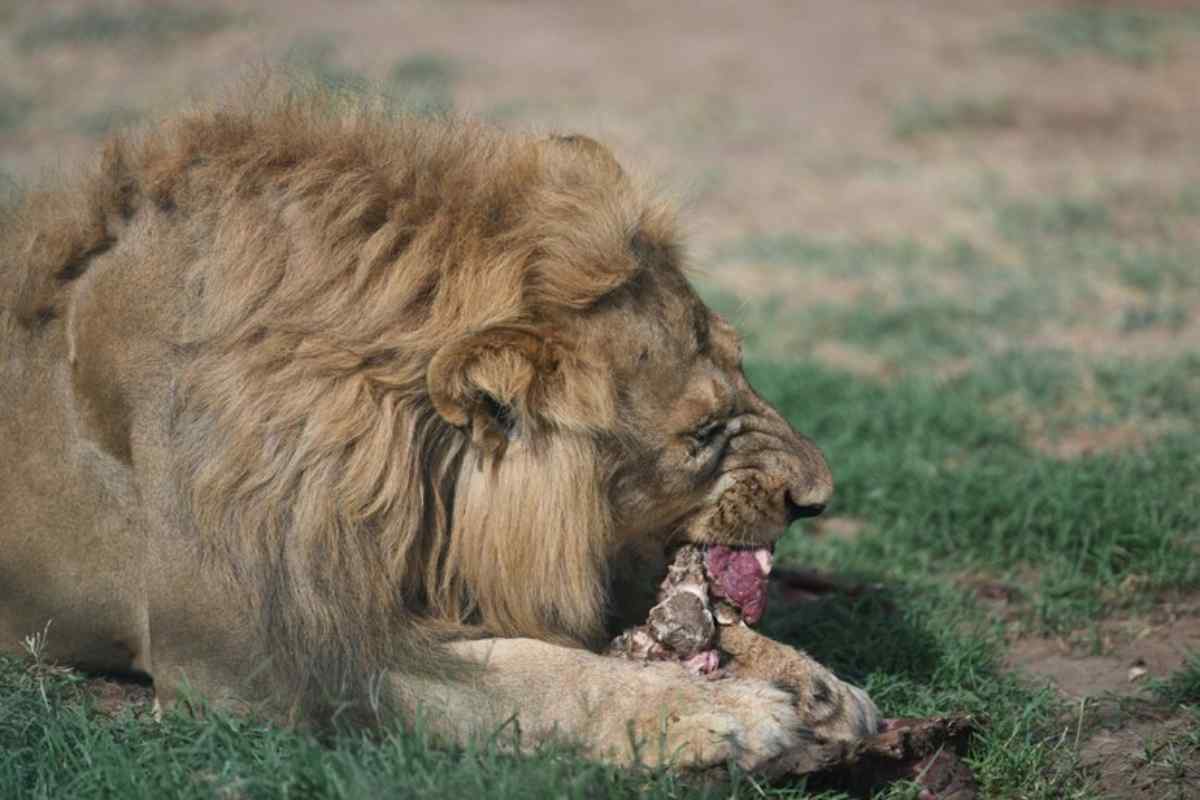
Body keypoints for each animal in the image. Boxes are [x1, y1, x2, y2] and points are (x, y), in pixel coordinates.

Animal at [0, 90, 883, 772]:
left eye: (745, 366)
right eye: (702, 432)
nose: (819, 498)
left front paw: (810, 683)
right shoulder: (254, 658)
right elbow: (528, 673)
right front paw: (717, 714)